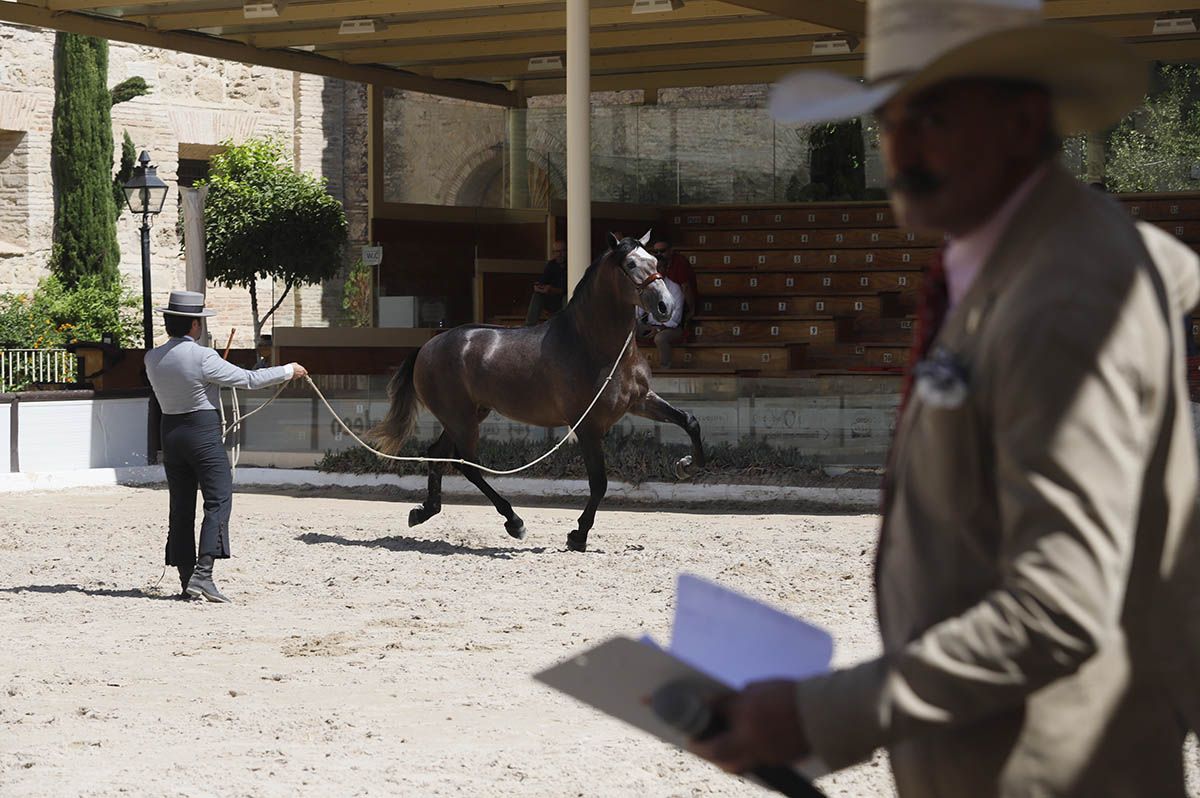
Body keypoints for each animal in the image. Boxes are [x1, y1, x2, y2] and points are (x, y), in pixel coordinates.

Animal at [372, 230, 700, 552]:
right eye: (630, 264)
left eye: (655, 260)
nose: (666, 307)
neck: (593, 345)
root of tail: (428, 346)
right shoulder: (587, 424)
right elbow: (599, 482)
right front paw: (578, 535)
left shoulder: (641, 401)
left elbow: (689, 421)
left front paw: (686, 466)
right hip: (460, 419)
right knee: (467, 465)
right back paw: (514, 522)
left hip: (468, 415)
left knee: (439, 454)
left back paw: (424, 511)